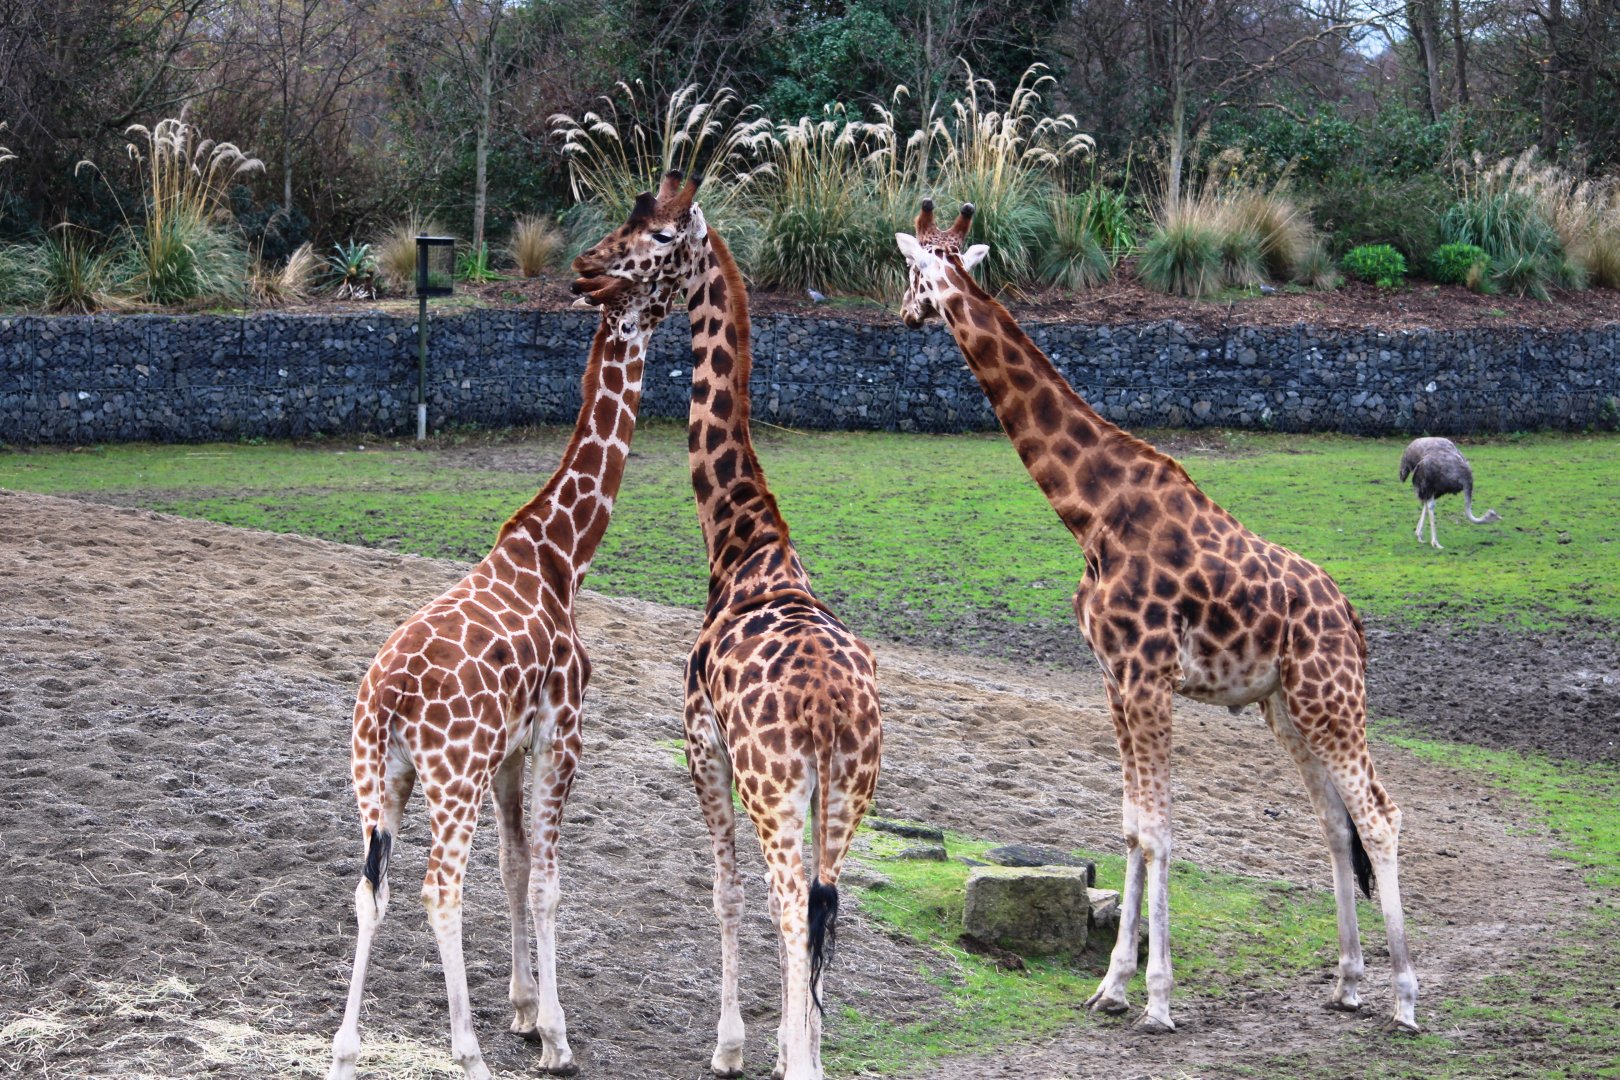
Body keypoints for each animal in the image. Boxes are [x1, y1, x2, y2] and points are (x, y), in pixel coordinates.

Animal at [326, 173, 704, 1080]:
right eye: (668, 240)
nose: (699, 276)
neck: (563, 553)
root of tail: (387, 699)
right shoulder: (562, 729)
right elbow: (545, 879)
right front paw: (555, 1036)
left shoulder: (507, 750)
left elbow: (514, 865)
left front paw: (526, 1009)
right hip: (448, 775)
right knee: (438, 886)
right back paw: (463, 1050)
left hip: (379, 777)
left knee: (371, 886)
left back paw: (346, 1047)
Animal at [894, 200, 1419, 1034]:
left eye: (912, 272)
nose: (902, 312)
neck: (1090, 510)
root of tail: (1353, 622)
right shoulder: (1115, 679)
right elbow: (1133, 826)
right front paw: (1112, 986)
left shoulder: (1148, 675)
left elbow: (1162, 830)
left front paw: (1160, 999)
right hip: (1286, 706)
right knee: (1335, 825)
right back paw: (1347, 982)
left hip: (1332, 696)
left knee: (1380, 815)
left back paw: (1403, 998)